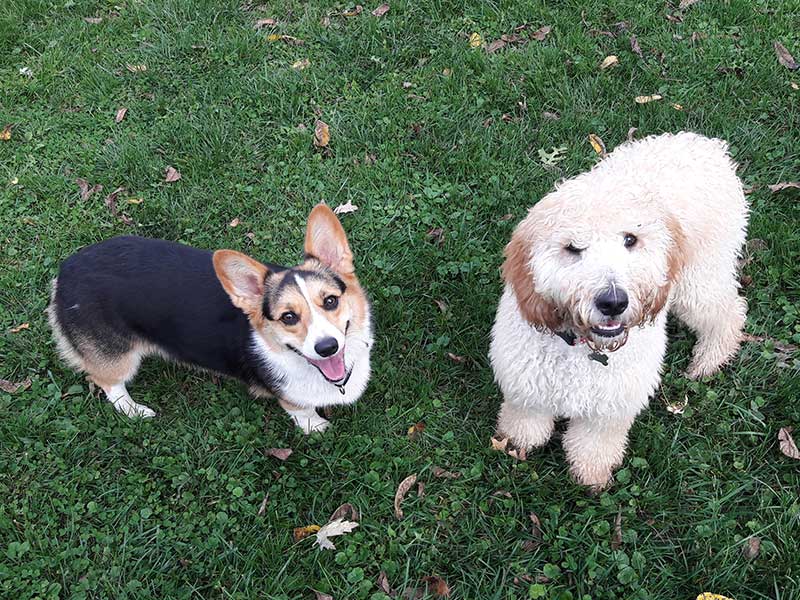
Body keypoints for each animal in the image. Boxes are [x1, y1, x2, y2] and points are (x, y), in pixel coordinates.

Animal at [48, 204, 374, 434]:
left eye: (330, 301)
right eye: (289, 317)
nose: (327, 347)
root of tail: (65, 272)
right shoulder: (291, 399)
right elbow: (301, 411)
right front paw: (316, 428)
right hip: (118, 359)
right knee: (107, 382)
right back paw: (136, 410)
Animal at [488, 131, 752, 488]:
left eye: (630, 239)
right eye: (572, 248)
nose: (613, 302)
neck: (584, 347)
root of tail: (706, 146)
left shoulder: (613, 402)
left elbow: (595, 442)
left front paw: (591, 474)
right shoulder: (525, 383)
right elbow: (525, 421)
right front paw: (515, 444)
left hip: (696, 281)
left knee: (729, 311)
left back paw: (708, 361)